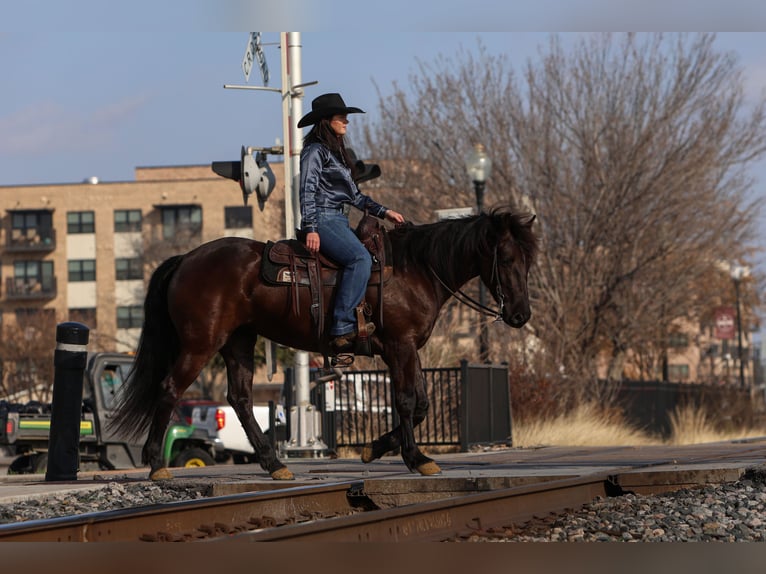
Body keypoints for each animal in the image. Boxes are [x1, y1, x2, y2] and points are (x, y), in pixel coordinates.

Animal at [111, 207, 536, 482]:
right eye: (506, 257)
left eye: (528, 260)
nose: (520, 315)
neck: (415, 267)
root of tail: (186, 258)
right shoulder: (400, 346)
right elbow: (406, 402)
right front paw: (416, 458)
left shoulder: (408, 349)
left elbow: (420, 405)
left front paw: (373, 449)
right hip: (201, 344)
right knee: (169, 389)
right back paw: (156, 465)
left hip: (238, 343)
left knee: (241, 399)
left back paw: (274, 463)